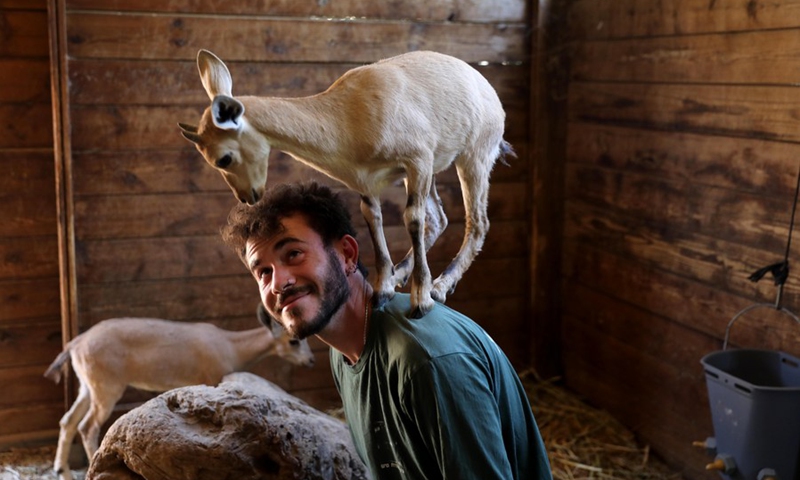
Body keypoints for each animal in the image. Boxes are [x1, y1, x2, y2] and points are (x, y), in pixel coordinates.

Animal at [43, 305, 314, 480]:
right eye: (293, 342)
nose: (310, 361)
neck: (230, 346)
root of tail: (75, 344)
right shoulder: (211, 379)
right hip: (106, 388)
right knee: (87, 426)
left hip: (86, 387)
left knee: (68, 421)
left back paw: (62, 471)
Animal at [179, 50, 514, 318]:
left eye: (223, 158)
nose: (247, 196)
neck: (349, 118)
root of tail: (491, 94)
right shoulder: (368, 182)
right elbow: (373, 218)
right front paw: (382, 291)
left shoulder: (417, 160)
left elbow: (412, 219)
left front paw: (421, 300)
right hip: (434, 171)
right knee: (439, 218)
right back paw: (401, 275)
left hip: (473, 157)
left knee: (477, 222)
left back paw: (440, 287)